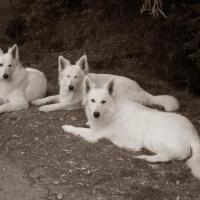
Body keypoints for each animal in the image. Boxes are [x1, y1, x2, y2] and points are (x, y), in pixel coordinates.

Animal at [31, 54, 180, 112]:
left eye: (77, 77)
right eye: (68, 76)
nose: (71, 87)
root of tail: (142, 90)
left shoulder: (73, 104)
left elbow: (59, 104)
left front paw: (46, 107)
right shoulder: (63, 95)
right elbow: (51, 97)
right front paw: (38, 101)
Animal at [62, 77, 200, 180]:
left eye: (103, 102)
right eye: (92, 100)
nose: (96, 114)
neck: (111, 110)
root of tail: (192, 134)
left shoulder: (94, 134)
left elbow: (78, 129)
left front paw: (66, 127)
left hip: (150, 135)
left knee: (166, 156)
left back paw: (144, 157)